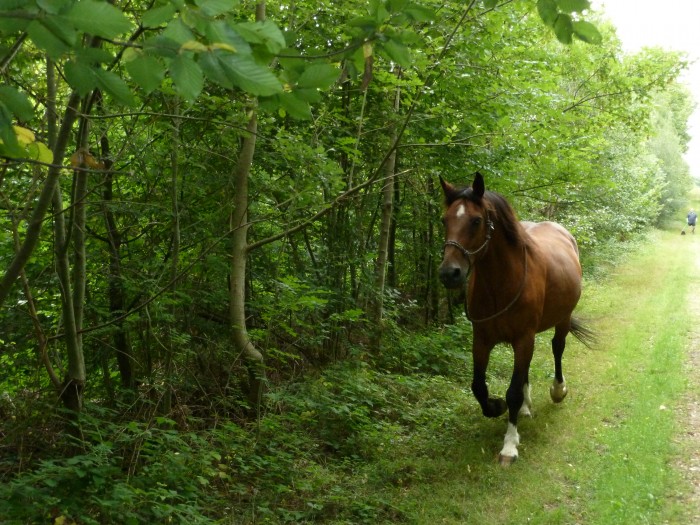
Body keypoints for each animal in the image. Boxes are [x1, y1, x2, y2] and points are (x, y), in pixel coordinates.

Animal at [440, 171, 592, 462]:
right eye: (444, 220)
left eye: (476, 221)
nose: (449, 273)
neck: (500, 283)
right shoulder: (482, 340)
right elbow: (479, 386)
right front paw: (496, 406)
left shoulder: (524, 338)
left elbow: (512, 391)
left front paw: (509, 444)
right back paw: (524, 407)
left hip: (562, 318)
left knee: (557, 348)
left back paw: (558, 390)